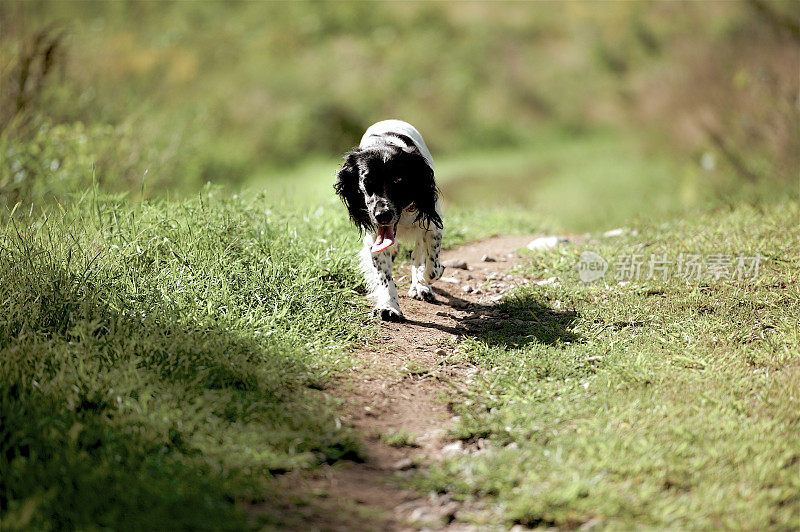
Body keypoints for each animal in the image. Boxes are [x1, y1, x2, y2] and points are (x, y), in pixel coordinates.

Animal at [332, 119, 444, 320]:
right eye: (366, 182)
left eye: (398, 181)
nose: (382, 215)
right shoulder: (374, 238)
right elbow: (384, 276)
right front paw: (389, 306)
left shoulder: (432, 225)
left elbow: (432, 267)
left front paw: (421, 281)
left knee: (419, 255)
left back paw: (420, 285)